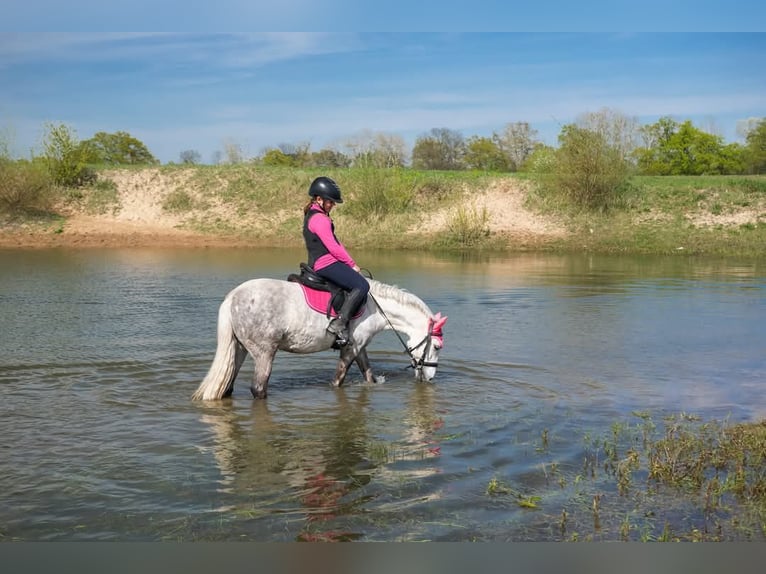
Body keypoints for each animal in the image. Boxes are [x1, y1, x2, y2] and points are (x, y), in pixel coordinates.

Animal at [190, 280, 450, 400]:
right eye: (437, 346)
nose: (429, 378)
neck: (376, 308)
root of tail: (232, 297)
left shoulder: (359, 347)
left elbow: (368, 374)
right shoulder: (350, 349)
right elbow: (337, 381)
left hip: (240, 349)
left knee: (228, 386)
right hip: (264, 352)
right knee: (258, 388)